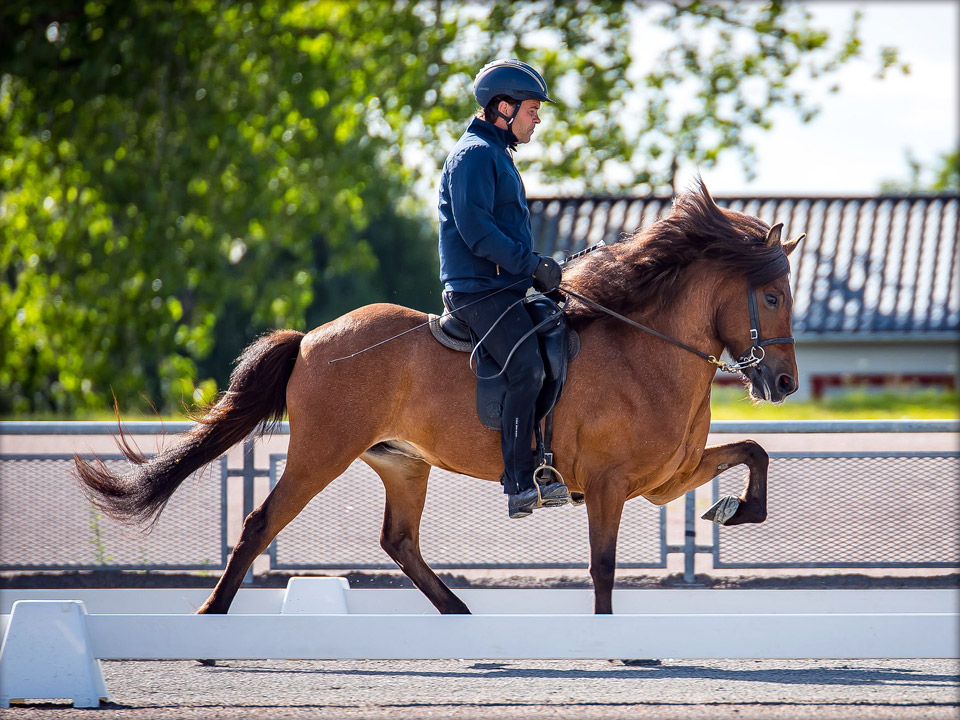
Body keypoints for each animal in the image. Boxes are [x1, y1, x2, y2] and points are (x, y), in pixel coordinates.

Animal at [75, 180, 804, 612]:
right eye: (771, 296)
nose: (785, 384)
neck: (644, 348)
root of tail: (311, 338)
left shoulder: (663, 480)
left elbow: (755, 451)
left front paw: (737, 510)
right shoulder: (608, 484)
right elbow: (602, 568)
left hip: (402, 462)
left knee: (399, 541)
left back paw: (458, 614)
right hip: (321, 454)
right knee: (259, 526)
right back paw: (211, 620)